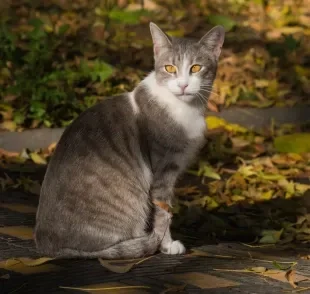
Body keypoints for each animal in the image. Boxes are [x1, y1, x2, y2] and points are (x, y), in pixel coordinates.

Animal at [34, 21, 225, 258]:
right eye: (170, 68)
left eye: (196, 68)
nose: (183, 85)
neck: (185, 109)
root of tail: (46, 245)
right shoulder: (164, 170)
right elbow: (162, 212)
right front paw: (167, 245)